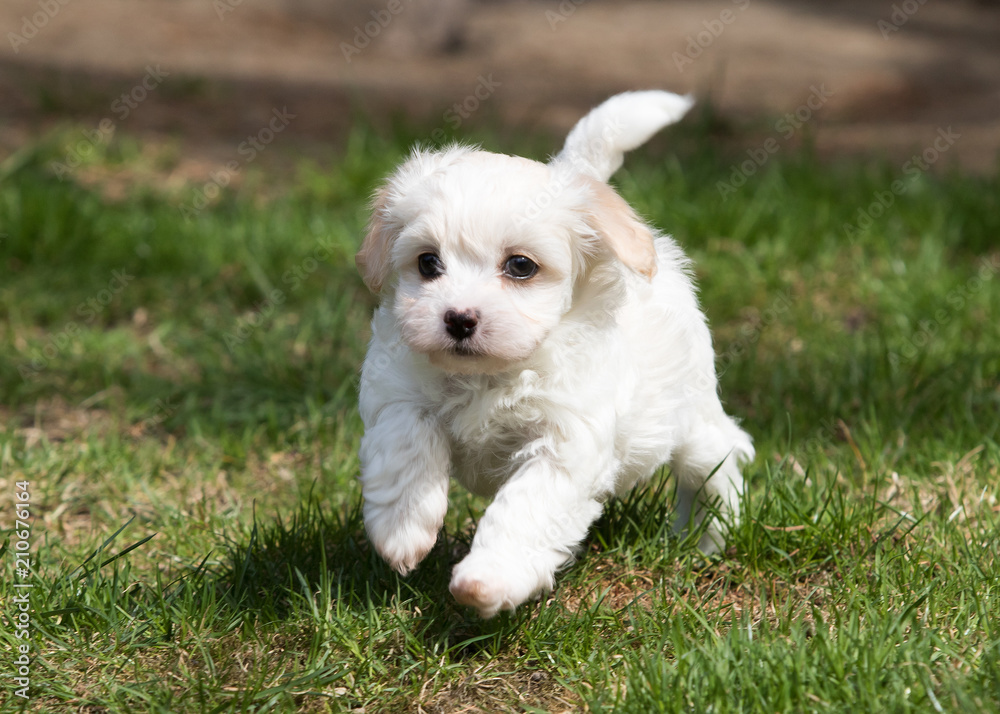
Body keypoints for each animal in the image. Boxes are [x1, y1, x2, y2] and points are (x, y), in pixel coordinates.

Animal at [356, 90, 752, 616]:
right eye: (427, 262)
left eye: (521, 266)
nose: (459, 318)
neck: (490, 375)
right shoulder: (399, 389)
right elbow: (404, 446)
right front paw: (401, 532)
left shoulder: (564, 445)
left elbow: (525, 510)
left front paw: (488, 579)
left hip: (686, 411)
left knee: (718, 456)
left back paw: (707, 537)